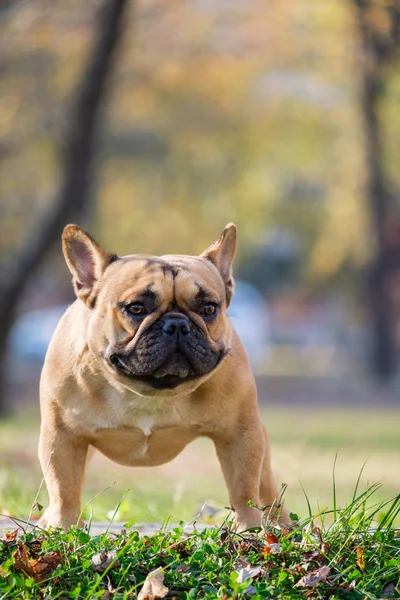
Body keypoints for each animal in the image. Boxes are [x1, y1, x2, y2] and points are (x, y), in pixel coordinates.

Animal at [39, 224, 290, 528]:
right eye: (136, 308)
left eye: (209, 309)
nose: (177, 325)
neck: (149, 390)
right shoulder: (62, 435)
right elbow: (63, 488)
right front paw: (62, 528)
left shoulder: (239, 433)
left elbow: (244, 488)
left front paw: (248, 528)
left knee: (265, 489)